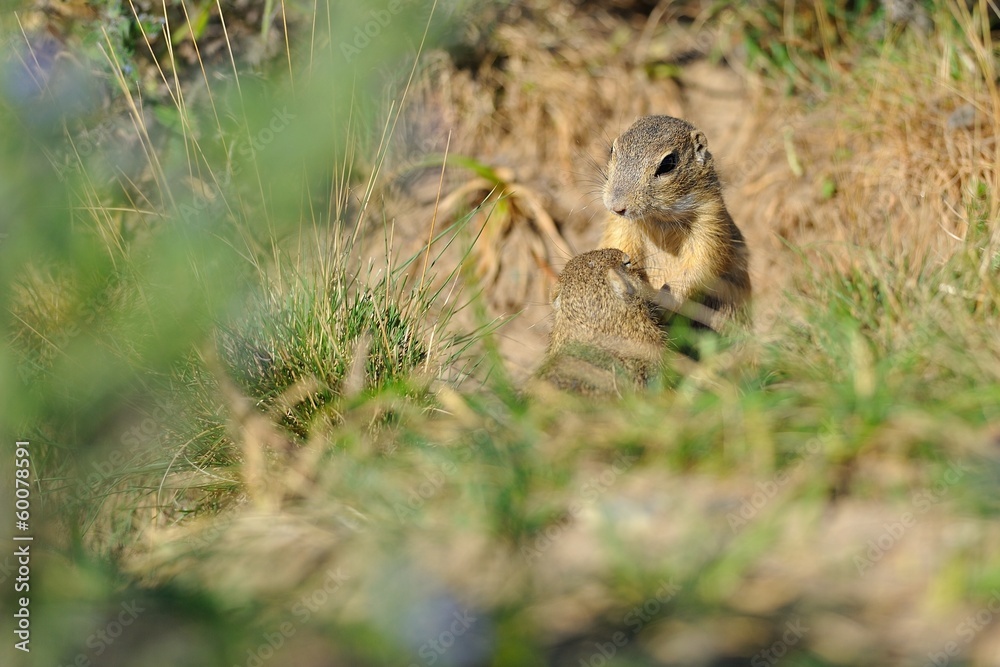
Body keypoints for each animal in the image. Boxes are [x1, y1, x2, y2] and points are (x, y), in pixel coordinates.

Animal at [600, 115, 751, 328]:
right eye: (612, 150)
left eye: (668, 163)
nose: (616, 206)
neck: (659, 218)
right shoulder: (619, 228)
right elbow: (618, 247)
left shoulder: (711, 223)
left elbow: (700, 267)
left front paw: (662, 303)